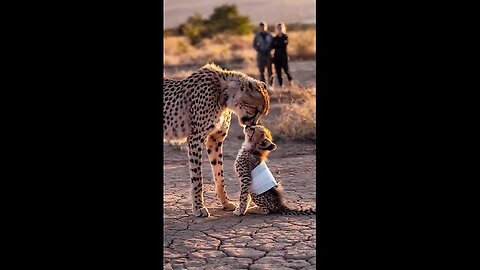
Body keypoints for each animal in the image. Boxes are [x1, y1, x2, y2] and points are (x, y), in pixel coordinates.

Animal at [164, 63, 270, 217]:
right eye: (256, 110)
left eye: (262, 113)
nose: (252, 125)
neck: (223, 94)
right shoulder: (195, 138)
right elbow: (197, 178)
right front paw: (199, 207)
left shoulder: (215, 139)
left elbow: (219, 175)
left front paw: (225, 203)